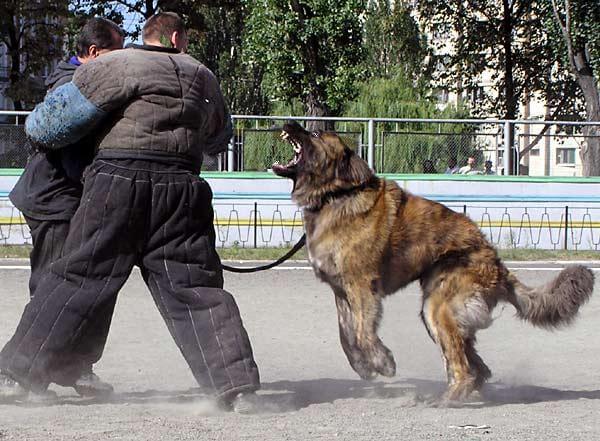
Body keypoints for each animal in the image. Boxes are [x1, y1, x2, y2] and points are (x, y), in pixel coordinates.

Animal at [274, 120, 596, 402]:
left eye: (315, 133)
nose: (290, 123)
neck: (335, 195)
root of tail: (497, 265)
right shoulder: (340, 290)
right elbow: (346, 336)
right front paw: (363, 366)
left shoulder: (362, 287)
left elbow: (363, 333)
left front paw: (383, 362)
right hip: (442, 312)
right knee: (478, 368)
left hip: (438, 308)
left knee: (465, 368)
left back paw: (445, 399)